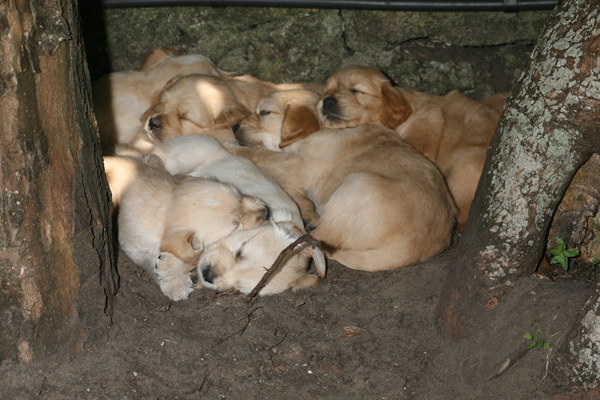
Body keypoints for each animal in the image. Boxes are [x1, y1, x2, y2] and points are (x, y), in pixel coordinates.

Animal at [103, 156, 270, 300]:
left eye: (239, 195)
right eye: (235, 225)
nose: (267, 211)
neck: (167, 207)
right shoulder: (132, 244)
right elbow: (158, 260)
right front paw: (174, 284)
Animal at [233, 90, 454, 272]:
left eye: (264, 112)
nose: (234, 126)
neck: (320, 128)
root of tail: (418, 246)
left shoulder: (296, 166)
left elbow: (259, 154)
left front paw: (229, 146)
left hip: (357, 183)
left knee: (316, 239)